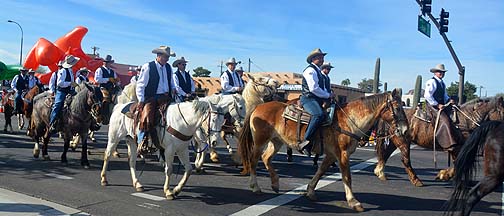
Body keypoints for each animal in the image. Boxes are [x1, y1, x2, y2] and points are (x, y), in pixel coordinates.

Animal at [238, 88, 408, 213]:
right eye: (398, 108)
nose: (405, 130)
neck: (349, 120)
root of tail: (258, 106)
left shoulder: (331, 155)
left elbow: (320, 172)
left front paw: (310, 191)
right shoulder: (342, 154)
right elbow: (347, 177)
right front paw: (354, 202)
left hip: (277, 142)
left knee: (266, 158)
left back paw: (275, 183)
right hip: (260, 141)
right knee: (254, 160)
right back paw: (255, 187)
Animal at [374, 96, 504, 182]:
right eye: (503, 112)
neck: (466, 120)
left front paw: (444, 174)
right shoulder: (456, 147)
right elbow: (457, 163)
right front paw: (444, 175)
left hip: (395, 140)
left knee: (385, 154)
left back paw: (380, 173)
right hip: (403, 141)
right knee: (405, 160)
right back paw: (416, 180)